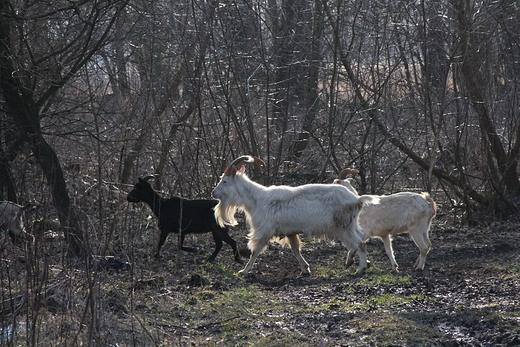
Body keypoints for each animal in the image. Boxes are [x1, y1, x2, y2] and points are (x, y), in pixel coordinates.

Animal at [211, 156, 378, 278]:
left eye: (225, 181)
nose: (213, 193)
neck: (257, 199)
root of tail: (357, 199)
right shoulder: (290, 232)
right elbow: (296, 250)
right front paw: (305, 269)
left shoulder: (265, 231)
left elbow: (255, 251)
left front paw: (244, 271)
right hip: (351, 225)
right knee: (361, 239)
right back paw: (358, 262)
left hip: (343, 226)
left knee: (359, 243)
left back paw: (359, 268)